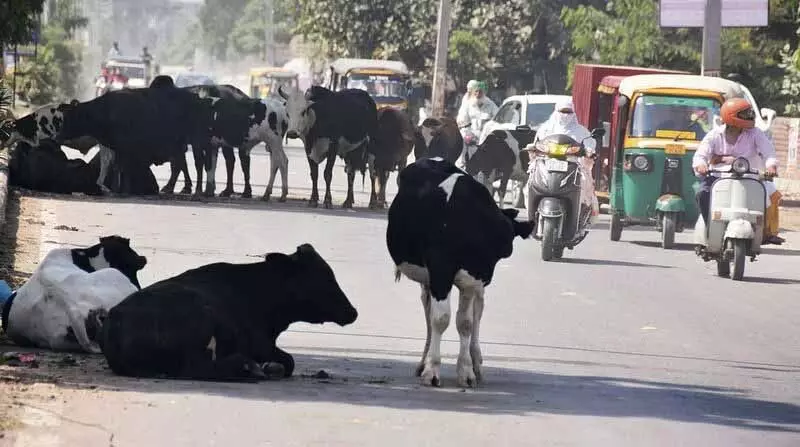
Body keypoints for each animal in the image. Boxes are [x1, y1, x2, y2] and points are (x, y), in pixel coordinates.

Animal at [54, 85, 214, 195]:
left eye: (70, 117)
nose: (58, 136)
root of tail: (199, 98)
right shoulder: (118, 148)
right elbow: (118, 167)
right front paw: (116, 188)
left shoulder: (127, 148)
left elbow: (124, 168)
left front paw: (124, 189)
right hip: (179, 143)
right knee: (180, 164)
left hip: (196, 140)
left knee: (198, 164)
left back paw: (198, 190)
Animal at [88, 243, 360, 384]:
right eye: (324, 277)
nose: (353, 312)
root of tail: (114, 321)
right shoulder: (261, 345)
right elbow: (289, 360)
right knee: (197, 368)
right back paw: (248, 368)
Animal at [386, 158, 536, 388]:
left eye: (505, 237)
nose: (505, 251)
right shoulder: (440, 271)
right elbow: (440, 319)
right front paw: (432, 369)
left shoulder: (473, 279)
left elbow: (465, 323)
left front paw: (466, 371)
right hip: (428, 280)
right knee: (429, 314)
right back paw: (424, 362)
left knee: (477, 311)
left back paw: (475, 361)